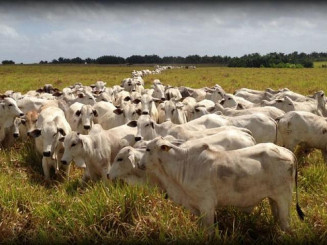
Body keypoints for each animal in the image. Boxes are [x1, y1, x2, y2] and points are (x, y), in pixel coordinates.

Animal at [140, 138, 304, 232]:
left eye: (148, 149)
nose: (140, 164)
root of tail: (287, 151)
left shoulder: (207, 204)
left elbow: (209, 231)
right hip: (273, 199)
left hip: (284, 198)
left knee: (286, 223)